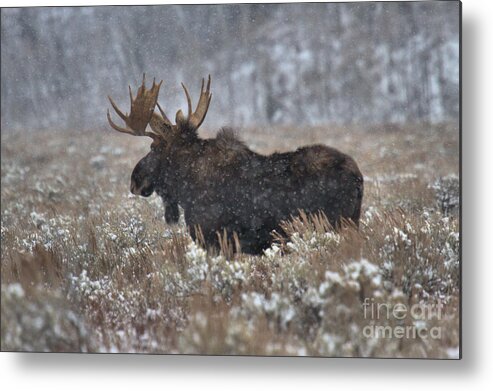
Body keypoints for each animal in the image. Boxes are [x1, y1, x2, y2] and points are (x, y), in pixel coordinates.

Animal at [106, 75, 362, 256]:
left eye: (153, 148)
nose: (135, 179)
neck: (184, 189)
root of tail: (358, 176)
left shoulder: (215, 240)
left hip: (335, 224)